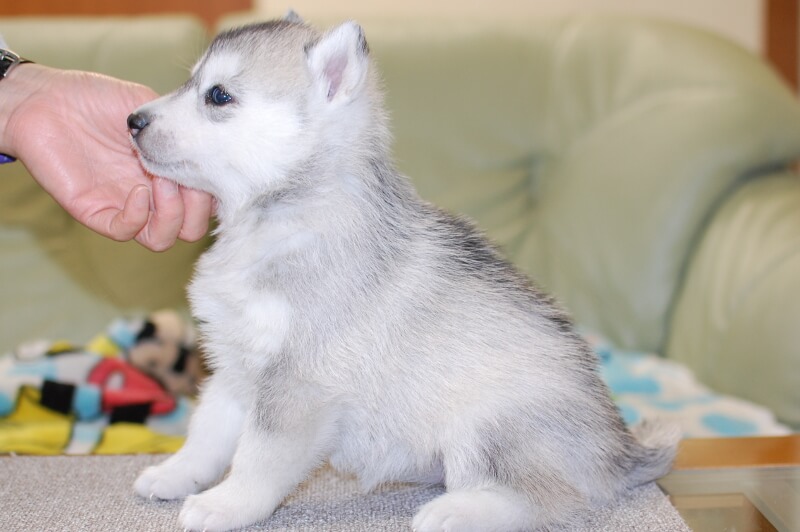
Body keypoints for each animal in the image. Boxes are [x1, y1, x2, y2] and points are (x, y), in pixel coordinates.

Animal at [128, 14, 680, 528]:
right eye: (190, 82)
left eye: (218, 95)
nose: (133, 119)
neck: (278, 220)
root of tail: (618, 448)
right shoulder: (236, 366)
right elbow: (208, 432)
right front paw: (175, 474)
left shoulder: (297, 383)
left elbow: (257, 457)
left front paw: (226, 504)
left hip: (492, 422)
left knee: (544, 497)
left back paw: (457, 511)